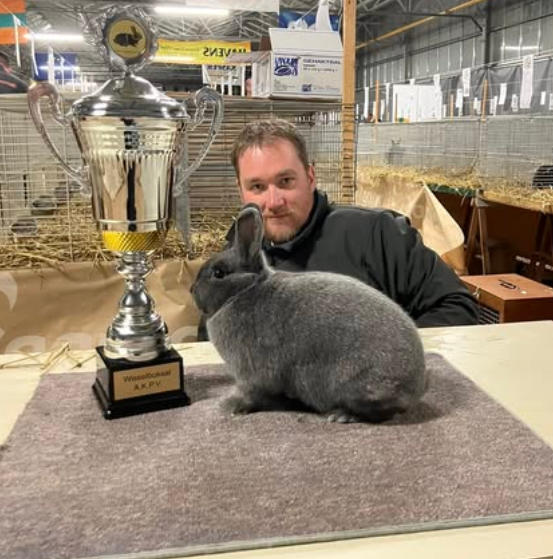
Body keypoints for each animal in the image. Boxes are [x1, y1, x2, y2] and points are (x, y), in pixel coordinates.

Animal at [191, 204, 427, 423]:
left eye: (218, 273)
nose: (192, 290)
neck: (244, 289)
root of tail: (413, 387)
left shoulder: (250, 375)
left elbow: (249, 394)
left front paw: (231, 407)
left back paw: (342, 415)